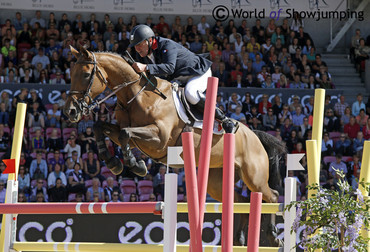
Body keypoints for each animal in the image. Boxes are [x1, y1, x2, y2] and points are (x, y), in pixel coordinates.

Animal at [64, 46, 286, 245]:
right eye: (71, 74)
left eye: (86, 75)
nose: (71, 111)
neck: (136, 94)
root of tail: (255, 135)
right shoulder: (126, 133)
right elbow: (101, 127)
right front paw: (113, 162)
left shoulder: (160, 138)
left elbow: (126, 133)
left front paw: (136, 165)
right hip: (217, 181)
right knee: (240, 201)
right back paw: (239, 239)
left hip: (254, 176)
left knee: (272, 196)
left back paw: (273, 236)